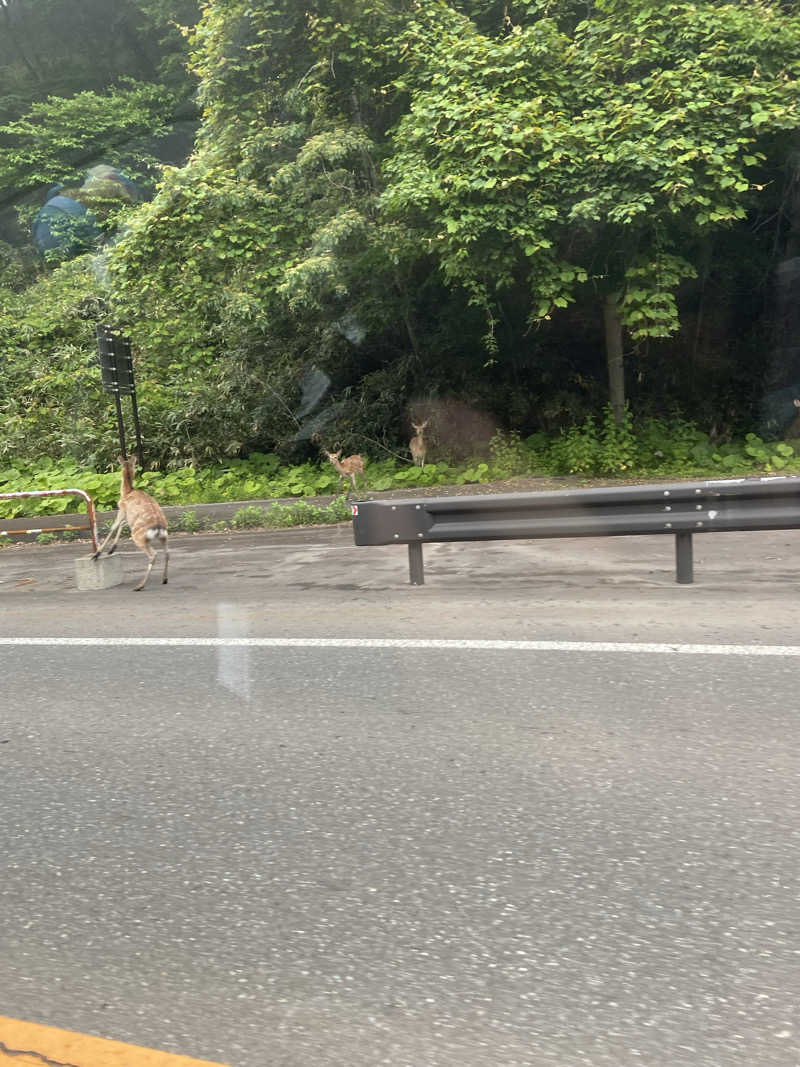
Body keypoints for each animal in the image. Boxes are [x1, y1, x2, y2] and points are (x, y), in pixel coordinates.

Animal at [92, 454, 169, 593]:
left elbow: (113, 527)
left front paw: (97, 554)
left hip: (139, 538)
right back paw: (164, 579)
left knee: (153, 555)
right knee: (167, 554)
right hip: (164, 537)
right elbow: (121, 525)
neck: (127, 492)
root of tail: (158, 528)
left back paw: (139, 586)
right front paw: (111, 549)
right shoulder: (129, 517)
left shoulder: (122, 509)